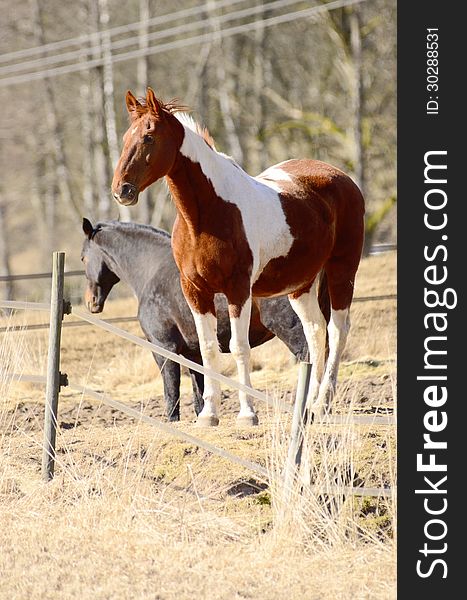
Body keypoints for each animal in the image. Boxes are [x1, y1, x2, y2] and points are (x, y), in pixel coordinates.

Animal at [112, 89, 366, 426]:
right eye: (126, 136)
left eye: (149, 136)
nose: (121, 190)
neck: (205, 216)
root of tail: (343, 178)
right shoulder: (196, 292)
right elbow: (208, 350)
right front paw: (208, 414)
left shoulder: (238, 290)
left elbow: (239, 347)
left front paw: (247, 414)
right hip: (302, 285)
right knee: (315, 333)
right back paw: (308, 406)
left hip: (342, 271)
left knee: (337, 331)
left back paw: (323, 403)